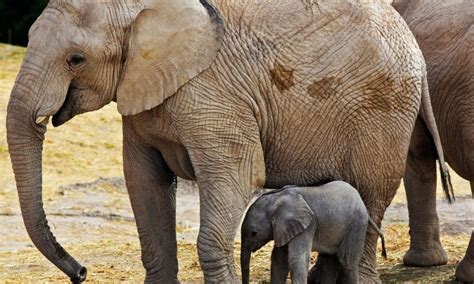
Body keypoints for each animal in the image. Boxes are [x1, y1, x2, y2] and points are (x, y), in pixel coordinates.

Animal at [241, 182, 386, 284]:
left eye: (254, 233)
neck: (277, 198)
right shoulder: (284, 228)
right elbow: (279, 259)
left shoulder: (307, 226)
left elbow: (296, 259)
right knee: (330, 262)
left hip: (357, 224)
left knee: (347, 260)